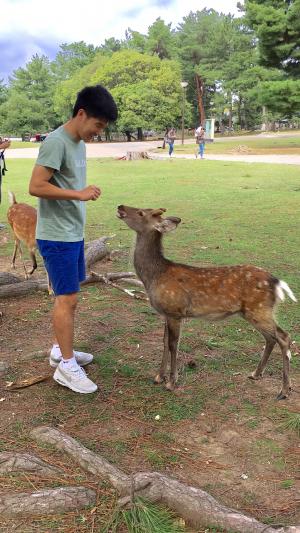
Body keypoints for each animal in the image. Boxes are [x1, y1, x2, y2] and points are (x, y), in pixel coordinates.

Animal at [117, 204, 298, 400]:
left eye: (141, 212)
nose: (120, 206)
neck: (154, 277)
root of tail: (277, 282)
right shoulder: (166, 313)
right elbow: (164, 341)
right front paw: (158, 377)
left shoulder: (175, 311)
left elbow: (173, 344)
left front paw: (171, 382)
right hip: (254, 311)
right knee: (271, 338)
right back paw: (256, 374)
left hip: (259, 309)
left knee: (284, 337)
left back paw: (284, 390)